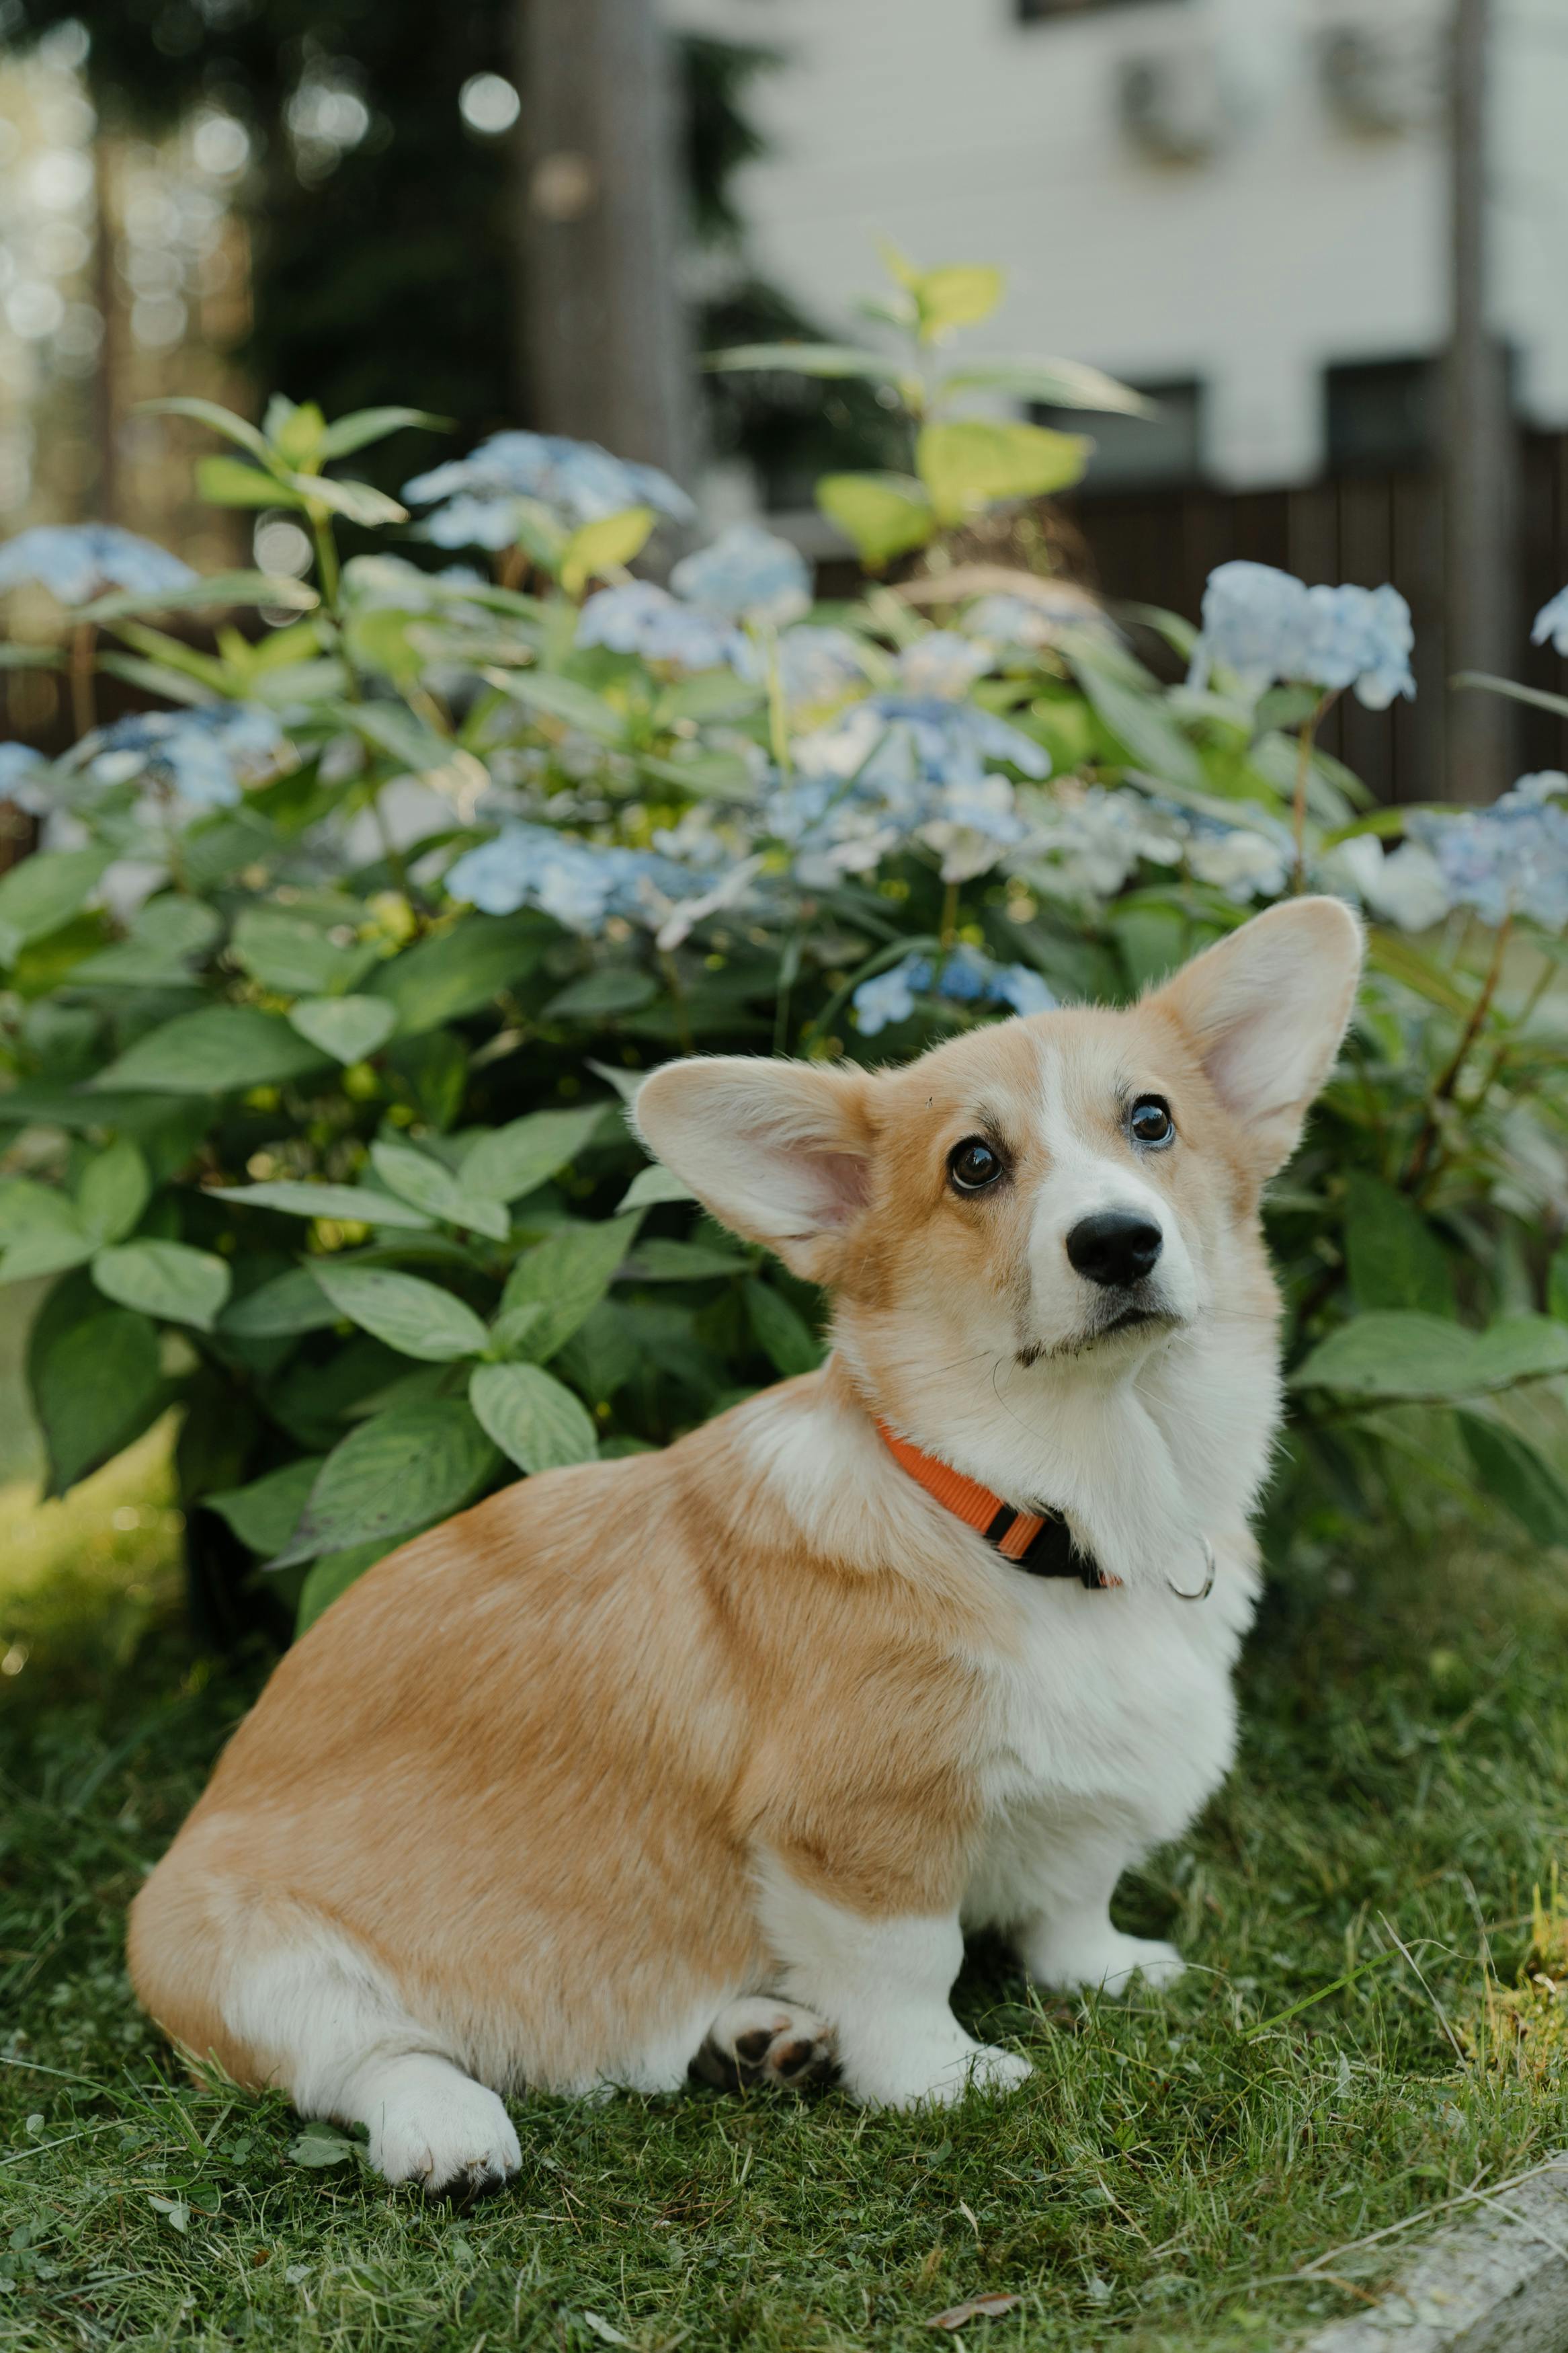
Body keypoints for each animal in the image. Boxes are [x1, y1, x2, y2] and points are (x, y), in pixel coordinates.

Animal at [128, 894, 1363, 2184]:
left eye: (1151, 1119)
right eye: (972, 1164)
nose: (1117, 1242)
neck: (1039, 1504)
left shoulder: (1084, 1800)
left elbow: (1072, 1894)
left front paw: (1108, 1970)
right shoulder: (856, 1832)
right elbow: (909, 1966)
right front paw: (940, 2081)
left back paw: (758, 2035)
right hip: (247, 1956)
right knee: (366, 2056)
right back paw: (452, 2129)